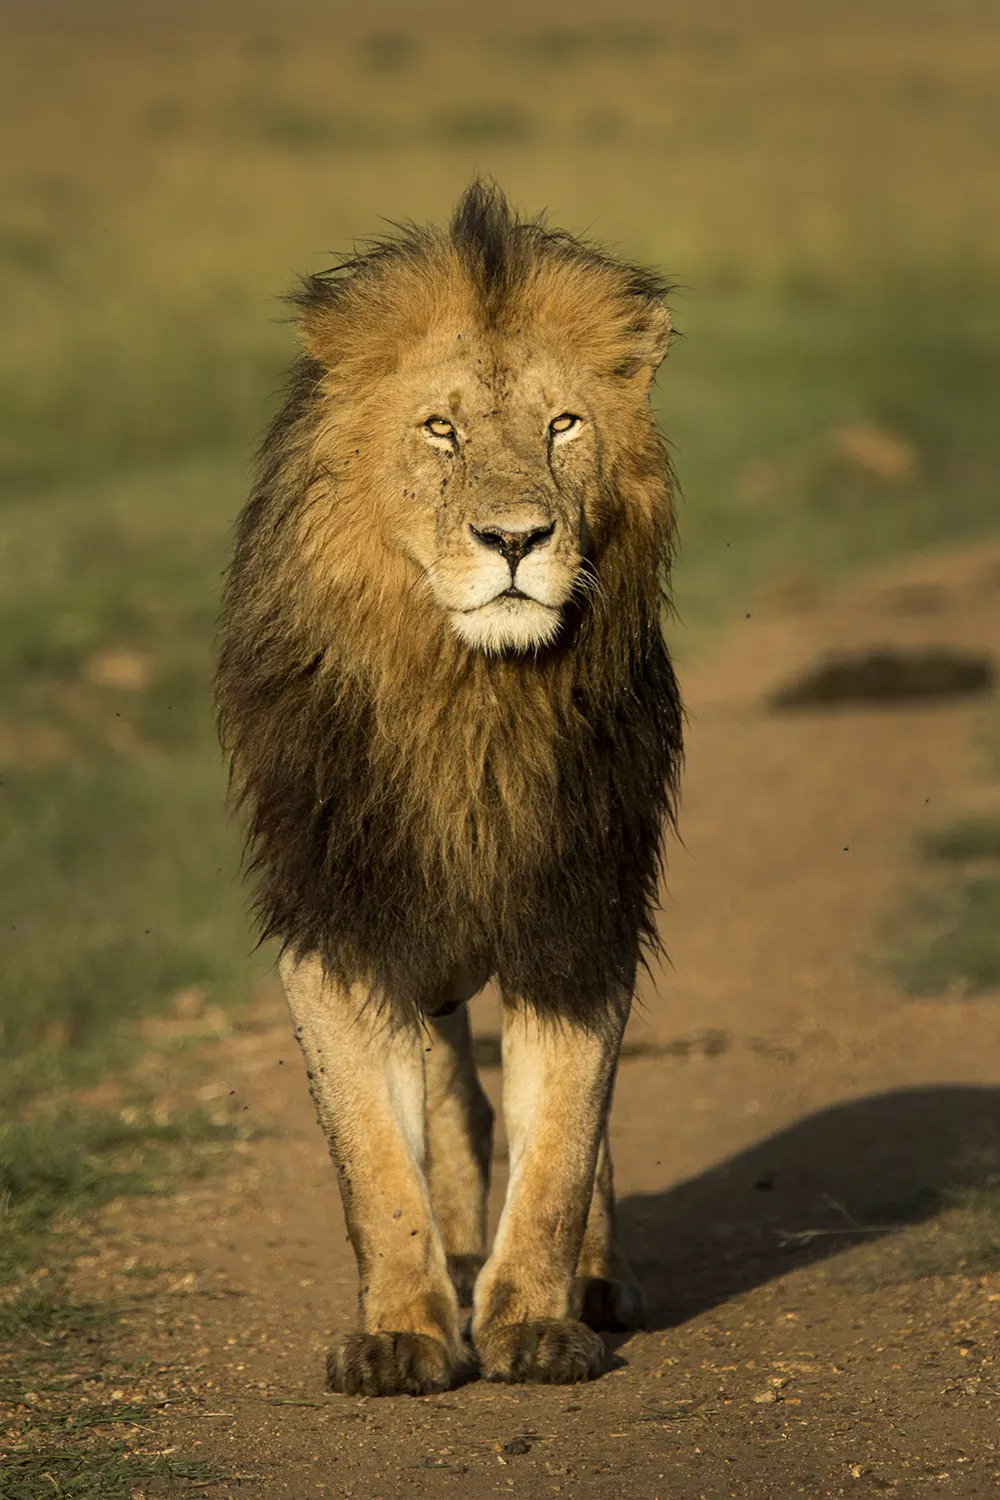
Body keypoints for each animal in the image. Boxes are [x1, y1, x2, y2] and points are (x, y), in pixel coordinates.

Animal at [217, 184, 689, 1392]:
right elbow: (378, 1161)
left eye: (564, 426)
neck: (470, 696)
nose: (516, 538)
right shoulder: (338, 919)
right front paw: (401, 1333)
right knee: (453, 1101)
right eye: (442, 429)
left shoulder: (580, 910)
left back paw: (593, 1281)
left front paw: (533, 1320)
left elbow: (563, 1140)